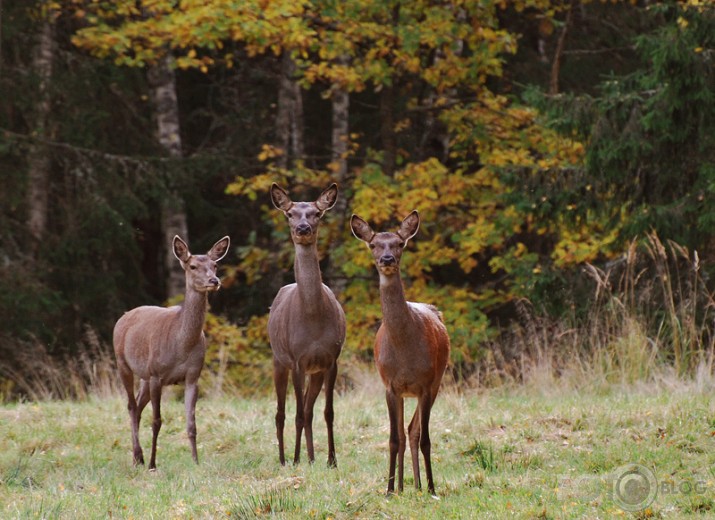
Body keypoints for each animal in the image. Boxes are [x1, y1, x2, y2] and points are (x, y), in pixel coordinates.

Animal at [113, 234, 229, 470]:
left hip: (144, 376)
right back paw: (138, 457)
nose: (214, 281)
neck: (181, 346)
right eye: (193, 266)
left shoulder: (193, 375)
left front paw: (195, 462)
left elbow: (192, 423)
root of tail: (123, 317)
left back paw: (137, 456)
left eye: (215, 265)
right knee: (131, 406)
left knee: (138, 407)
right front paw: (152, 463)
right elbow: (157, 421)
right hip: (124, 364)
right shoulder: (157, 374)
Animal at [268, 182, 346, 468]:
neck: (313, 320)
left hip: (316, 370)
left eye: (317, 213)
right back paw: (284, 459)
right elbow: (298, 414)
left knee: (311, 410)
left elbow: (328, 412)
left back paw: (312, 458)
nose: (303, 228)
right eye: (290, 214)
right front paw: (296, 459)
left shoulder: (331, 359)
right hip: (279, 359)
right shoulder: (297, 360)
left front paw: (332, 460)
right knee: (281, 413)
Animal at [352, 210, 450, 496]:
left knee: (414, 431)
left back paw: (418, 485)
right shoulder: (390, 385)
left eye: (400, 244)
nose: (387, 259)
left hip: (437, 381)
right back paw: (405, 487)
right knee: (405, 432)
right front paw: (388, 490)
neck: (404, 350)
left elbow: (425, 438)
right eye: (373, 244)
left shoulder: (426, 384)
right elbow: (393, 439)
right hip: (406, 392)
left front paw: (432, 488)